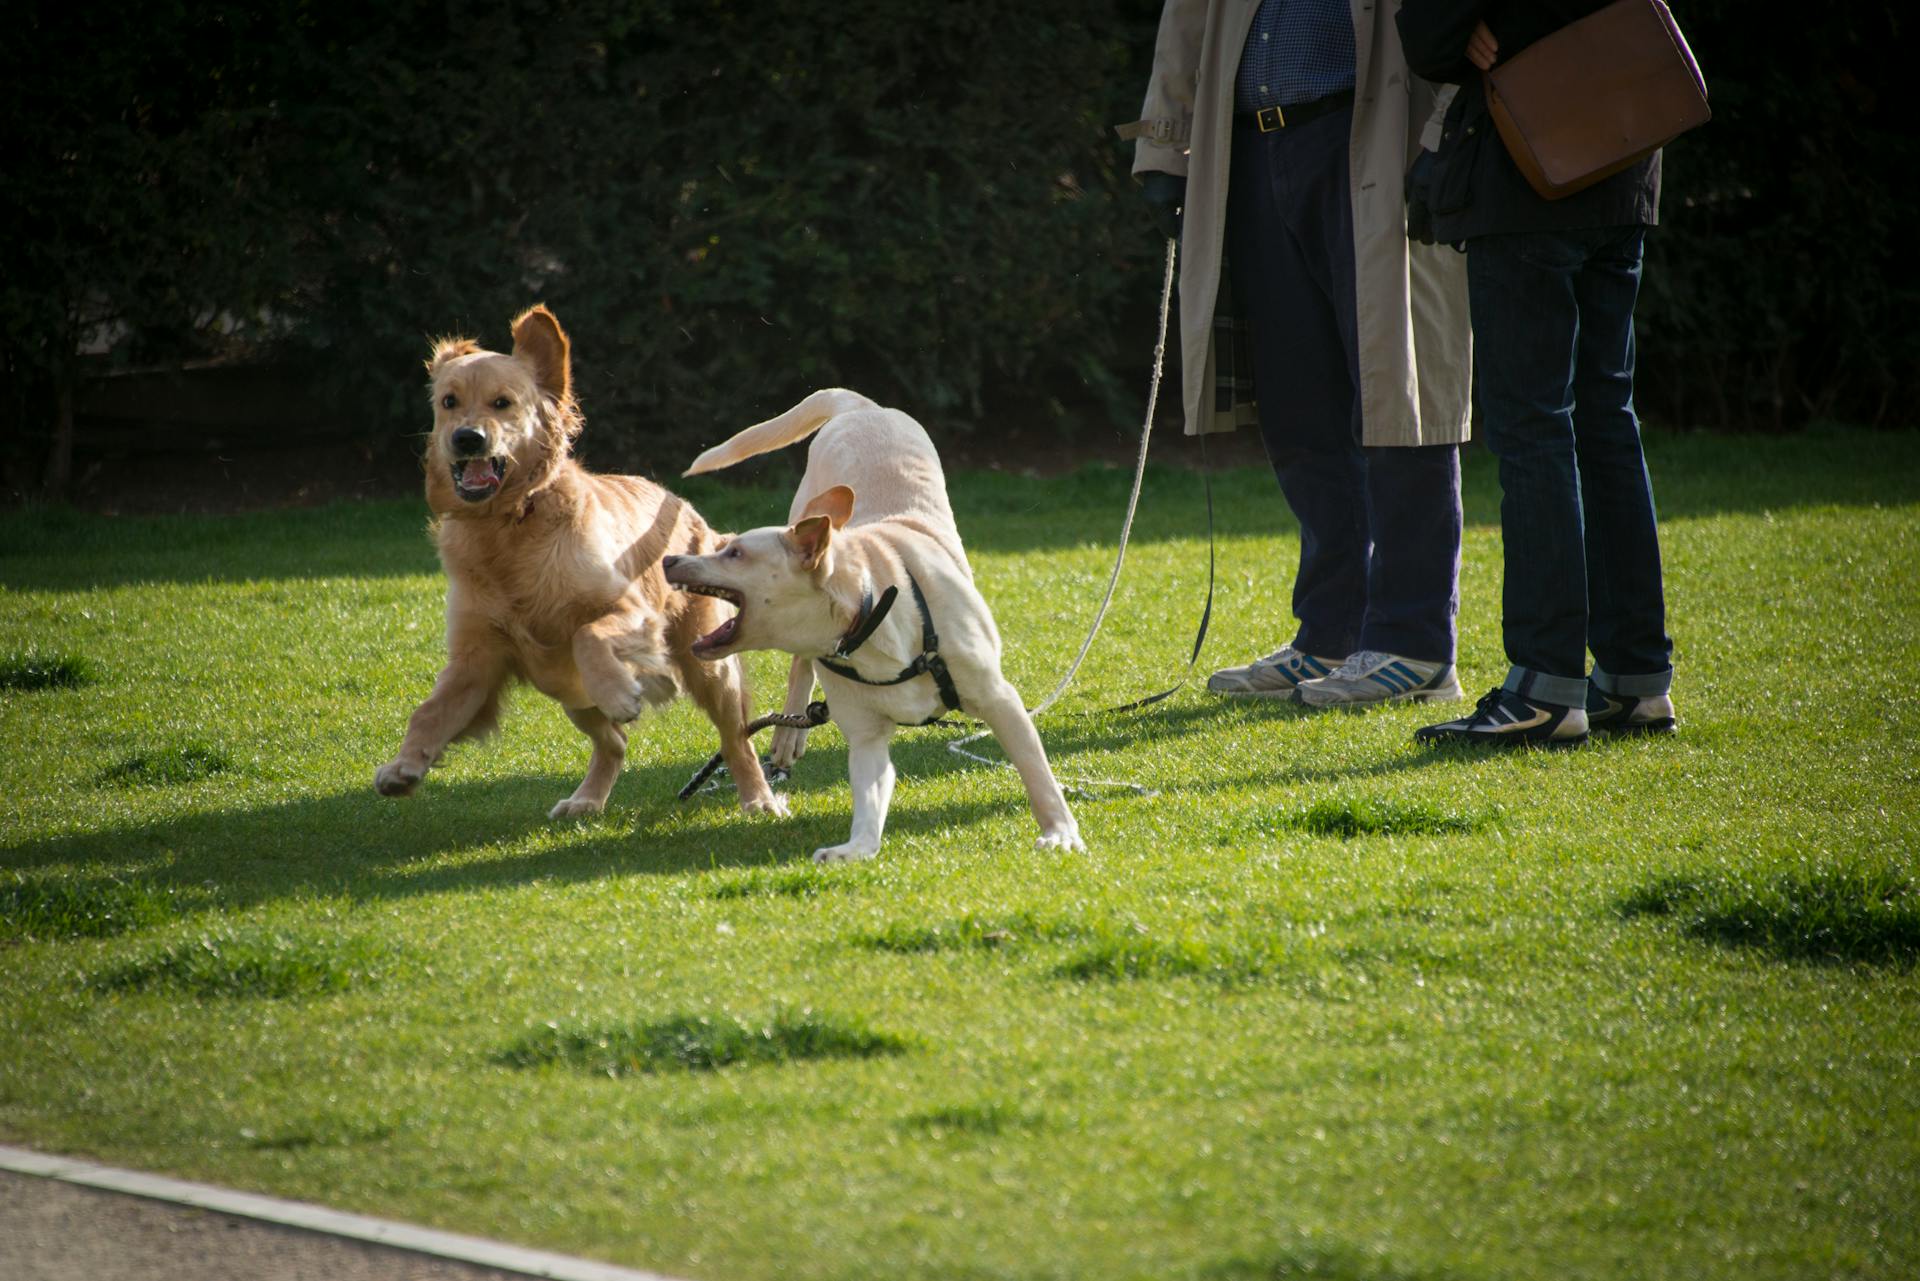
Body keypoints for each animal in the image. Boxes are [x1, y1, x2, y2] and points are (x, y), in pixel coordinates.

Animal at [374, 305, 779, 818]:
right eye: (449, 401)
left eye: (502, 403)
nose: (467, 438)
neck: (509, 525)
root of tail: (688, 510)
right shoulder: (475, 657)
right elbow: (428, 711)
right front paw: (404, 766)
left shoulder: (629, 610)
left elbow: (588, 634)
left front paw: (620, 691)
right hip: (566, 692)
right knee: (615, 742)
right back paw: (586, 799)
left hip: (707, 664)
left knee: (736, 739)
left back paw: (759, 798)